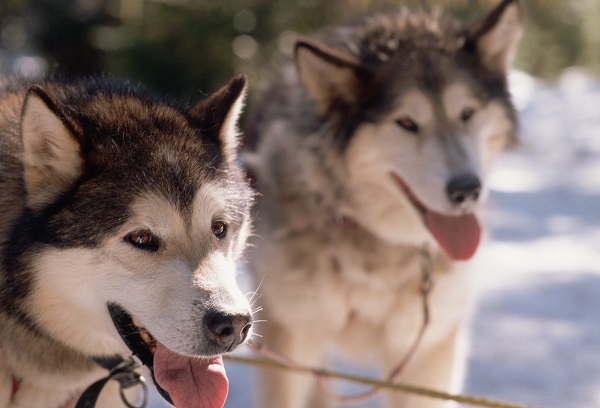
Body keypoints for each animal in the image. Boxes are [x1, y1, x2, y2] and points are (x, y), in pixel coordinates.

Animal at [246, 1, 524, 406]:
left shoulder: (427, 351)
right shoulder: (290, 339)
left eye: (467, 113)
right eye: (406, 122)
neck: (378, 246)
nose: (467, 190)